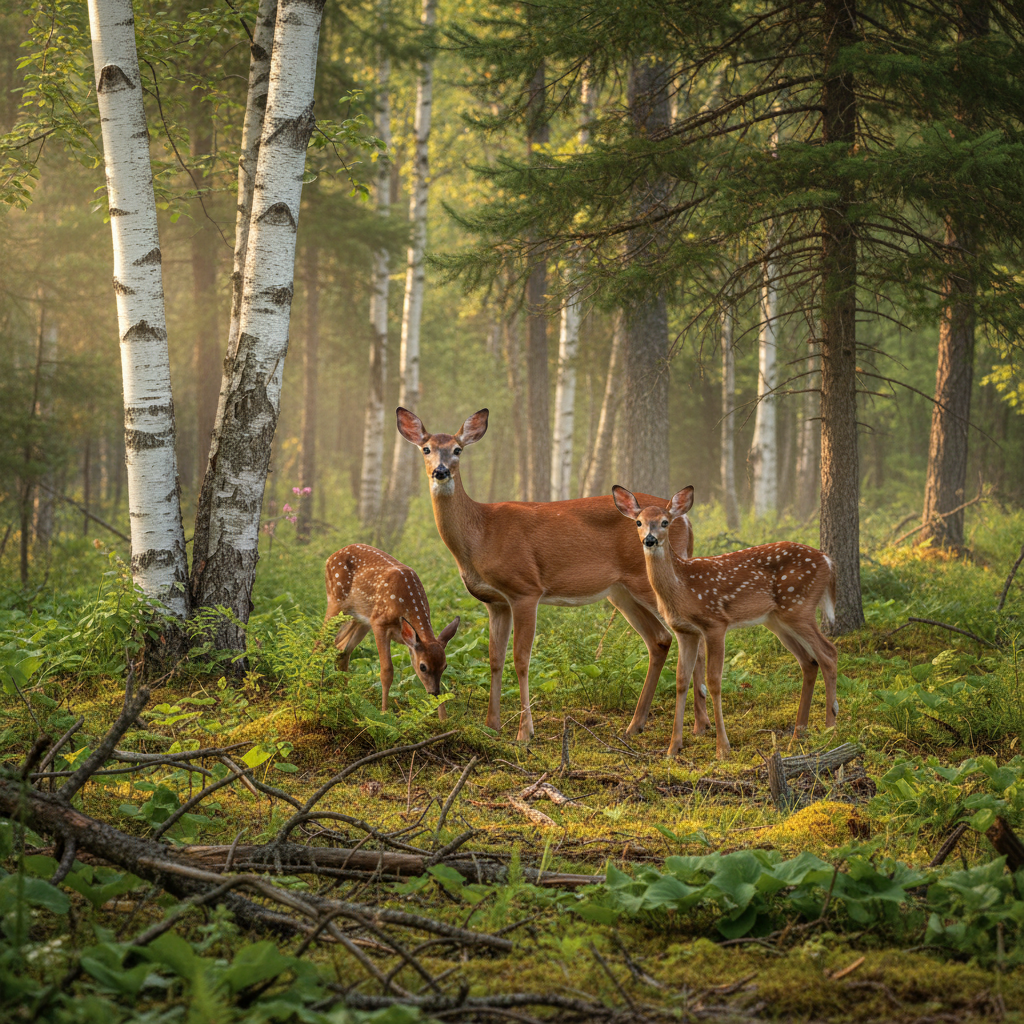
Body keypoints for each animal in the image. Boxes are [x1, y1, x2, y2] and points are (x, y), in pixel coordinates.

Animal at [324, 544, 460, 720]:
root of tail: (330, 557)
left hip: (360, 618)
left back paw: (345, 699)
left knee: (341, 649)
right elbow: (386, 671)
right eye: (423, 667)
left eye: (444, 666)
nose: (434, 692)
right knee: (320, 642)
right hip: (336, 600)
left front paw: (444, 720)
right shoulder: (379, 623)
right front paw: (384, 713)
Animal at [395, 407, 708, 744]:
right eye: (426, 449)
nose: (440, 472)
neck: (480, 534)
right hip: (621, 592)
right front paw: (492, 725)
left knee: (694, 635)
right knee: (660, 639)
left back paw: (700, 725)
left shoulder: (525, 589)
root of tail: (683, 519)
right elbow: (495, 658)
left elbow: (521, 659)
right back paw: (638, 724)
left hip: (649, 582)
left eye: (457, 449)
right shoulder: (495, 601)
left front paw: (524, 732)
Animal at [612, 484, 839, 759]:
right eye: (639, 522)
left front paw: (723, 748)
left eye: (665, 522)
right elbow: (681, 681)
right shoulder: (684, 631)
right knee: (809, 661)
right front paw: (673, 748)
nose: (650, 539)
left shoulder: (715, 623)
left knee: (828, 653)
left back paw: (830, 728)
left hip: (798, 607)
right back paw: (799, 732)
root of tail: (828, 561)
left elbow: (714, 681)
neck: (683, 589)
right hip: (777, 619)